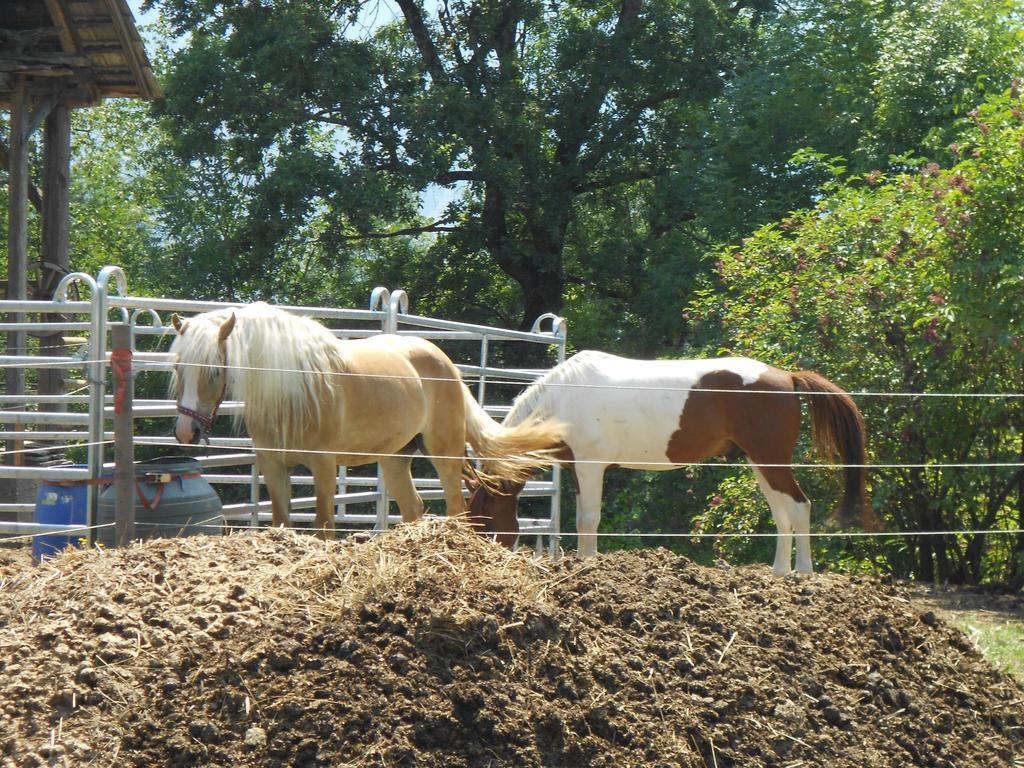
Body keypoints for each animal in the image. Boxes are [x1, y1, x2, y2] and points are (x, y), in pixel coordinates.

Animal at [171, 303, 565, 536]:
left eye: (212, 371)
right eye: (177, 368)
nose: (186, 431)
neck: (293, 386)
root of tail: (445, 362)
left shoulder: (324, 465)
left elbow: (324, 524)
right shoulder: (272, 464)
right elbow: (282, 521)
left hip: (444, 453)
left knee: (457, 511)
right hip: (395, 459)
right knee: (413, 508)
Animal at [468, 352, 868, 573]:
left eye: (482, 521)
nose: (484, 555)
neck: (562, 399)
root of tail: (787, 376)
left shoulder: (591, 466)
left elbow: (588, 521)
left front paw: (588, 565)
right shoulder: (579, 472)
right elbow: (584, 519)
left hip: (771, 461)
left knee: (800, 507)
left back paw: (802, 573)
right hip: (760, 464)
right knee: (782, 513)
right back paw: (779, 573)